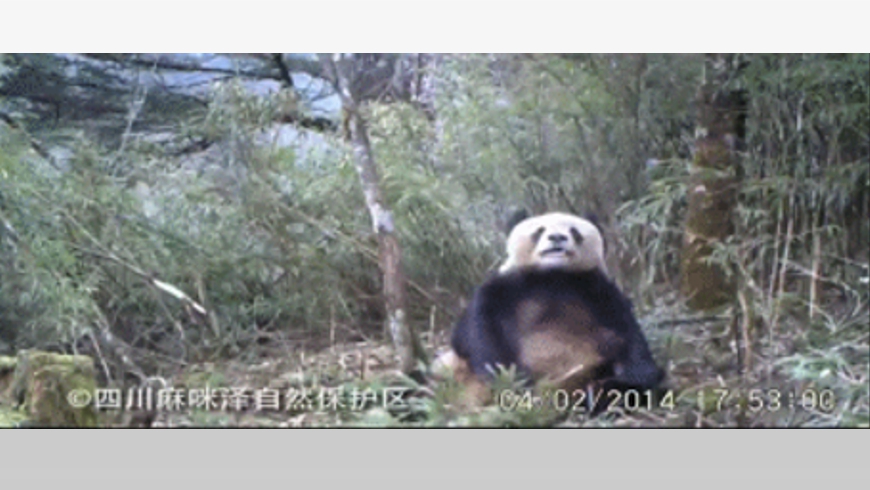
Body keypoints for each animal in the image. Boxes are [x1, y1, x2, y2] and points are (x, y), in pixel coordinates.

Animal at [434, 211, 664, 411]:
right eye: (539, 230)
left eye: (574, 231)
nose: (557, 237)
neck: (552, 274)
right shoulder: (505, 286)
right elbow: (473, 332)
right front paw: (509, 380)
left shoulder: (595, 288)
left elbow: (629, 333)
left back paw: (600, 394)